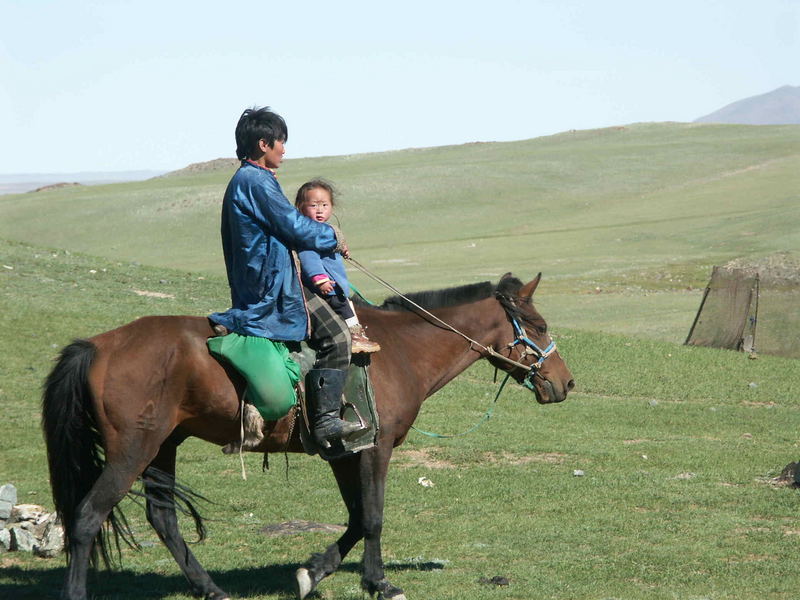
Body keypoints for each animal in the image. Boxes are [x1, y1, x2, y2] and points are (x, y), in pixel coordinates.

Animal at [42, 274, 576, 600]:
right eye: (539, 325)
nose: (566, 383)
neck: (401, 350)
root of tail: (100, 345)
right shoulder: (375, 448)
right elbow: (373, 516)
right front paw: (379, 582)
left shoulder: (344, 451)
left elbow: (357, 517)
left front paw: (313, 572)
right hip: (132, 449)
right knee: (87, 517)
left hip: (163, 447)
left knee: (163, 519)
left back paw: (211, 587)